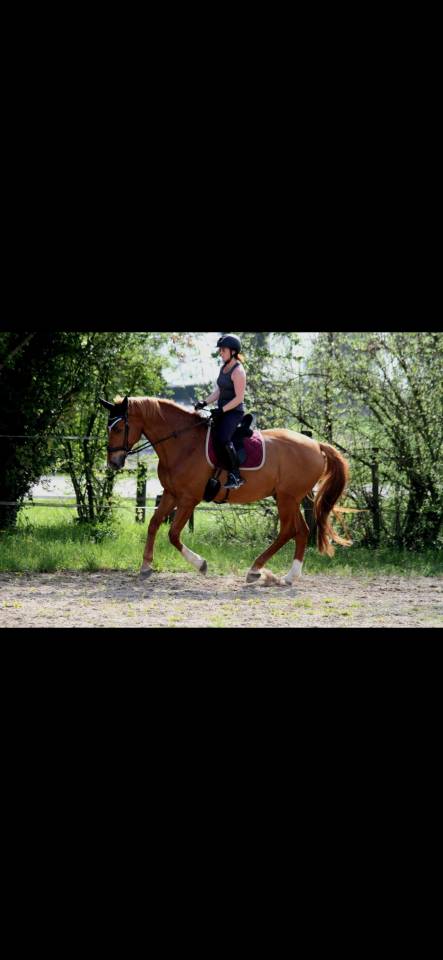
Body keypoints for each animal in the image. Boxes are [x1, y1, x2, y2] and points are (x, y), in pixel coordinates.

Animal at [100, 394, 352, 585]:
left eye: (119, 427)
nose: (114, 462)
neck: (183, 443)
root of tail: (316, 444)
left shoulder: (189, 499)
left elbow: (173, 534)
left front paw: (201, 564)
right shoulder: (171, 493)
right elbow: (153, 524)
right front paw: (145, 566)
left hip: (287, 499)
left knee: (288, 531)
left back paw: (256, 570)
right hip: (288, 498)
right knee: (301, 531)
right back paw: (289, 576)